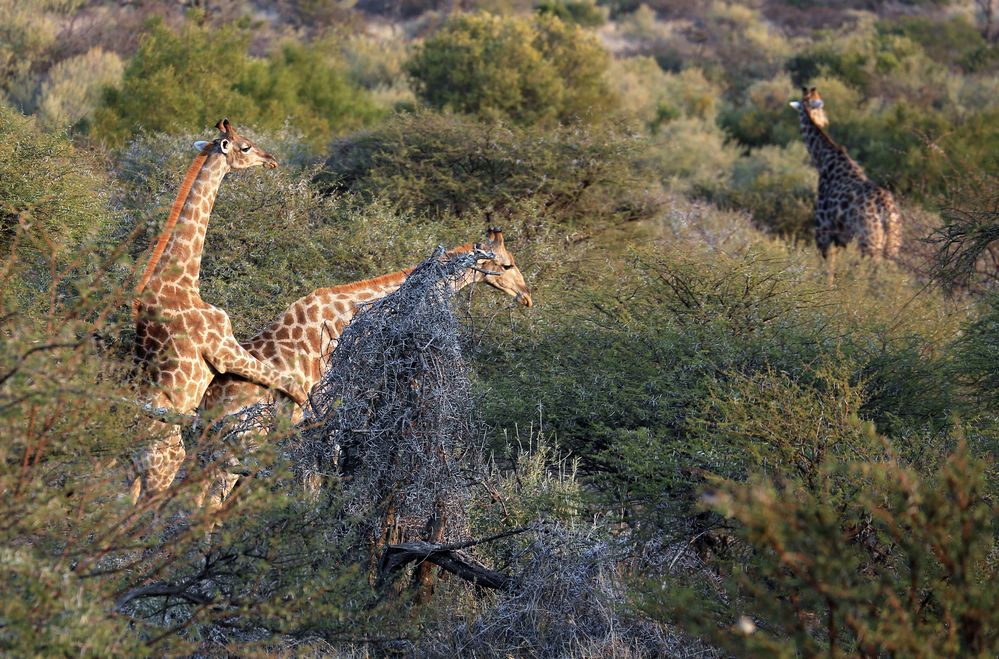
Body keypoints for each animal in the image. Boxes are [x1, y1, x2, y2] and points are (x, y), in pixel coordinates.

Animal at [131, 118, 308, 502]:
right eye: (245, 146)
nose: (271, 160)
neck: (183, 279)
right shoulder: (224, 349)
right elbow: (291, 383)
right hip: (163, 466)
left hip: (126, 471)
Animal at [198, 229, 536, 512]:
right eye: (508, 265)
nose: (527, 298)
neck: (349, 315)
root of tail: (208, 404)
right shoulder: (330, 407)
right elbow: (324, 475)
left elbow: (314, 478)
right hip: (243, 441)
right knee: (211, 500)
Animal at [792, 85, 904, 282]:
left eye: (822, 107)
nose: (825, 121)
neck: (823, 160)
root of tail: (887, 213)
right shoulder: (838, 240)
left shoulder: (823, 234)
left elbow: (827, 274)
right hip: (892, 246)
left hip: (869, 244)